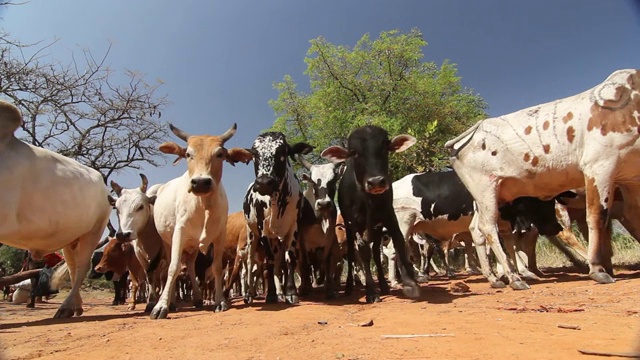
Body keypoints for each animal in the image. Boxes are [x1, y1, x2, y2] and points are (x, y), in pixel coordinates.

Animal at [0, 100, 110, 318]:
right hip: (70, 239)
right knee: (73, 267)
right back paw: (75, 307)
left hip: (94, 230)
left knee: (82, 266)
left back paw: (67, 306)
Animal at [149, 123, 251, 318]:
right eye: (188, 154)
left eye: (219, 154)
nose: (201, 183)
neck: (204, 206)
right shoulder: (179, 233)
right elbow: (173, 268)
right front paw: (161, 306)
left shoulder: (219, 236)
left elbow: (217, 268)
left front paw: (220, 302)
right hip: (168, 241)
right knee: (170, 268)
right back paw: (171, 302)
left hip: (194, 246)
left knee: (189, 266)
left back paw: (196, 297)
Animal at [241, 132, 314, 304]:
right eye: (255, 154)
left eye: (282, 152)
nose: (263, 182)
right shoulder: (263, 230)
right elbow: (269, 261)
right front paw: (271, 294)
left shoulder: (293, 228)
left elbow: (289, 260)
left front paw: (290, 292)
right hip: (251, 235)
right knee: (250, 263)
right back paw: (249, 294)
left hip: (276, 240)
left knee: (278, 263)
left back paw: (280, 292)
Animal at [322, 125, 422, 302]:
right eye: (354, 152)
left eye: (384, 146)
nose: (376, 182)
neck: (368, 200)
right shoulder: (353, 223)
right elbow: (363, 251)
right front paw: (370, 291)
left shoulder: (388, 216)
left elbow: (398, 241)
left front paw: (410, 283)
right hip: (349, 230)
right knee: (354, 255)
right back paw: (349, 287)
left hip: (376, 229)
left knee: (376, 252)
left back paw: (383, 284)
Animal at [444, 68, 640, 290]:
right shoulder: (599, 166)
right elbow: (597, 216)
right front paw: (598, 269)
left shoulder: (631, 179)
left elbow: (634, 215)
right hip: (487, 191)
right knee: (490, 229)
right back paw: (515, 277)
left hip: (495, 197)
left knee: (484, 230)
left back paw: (498, 277)